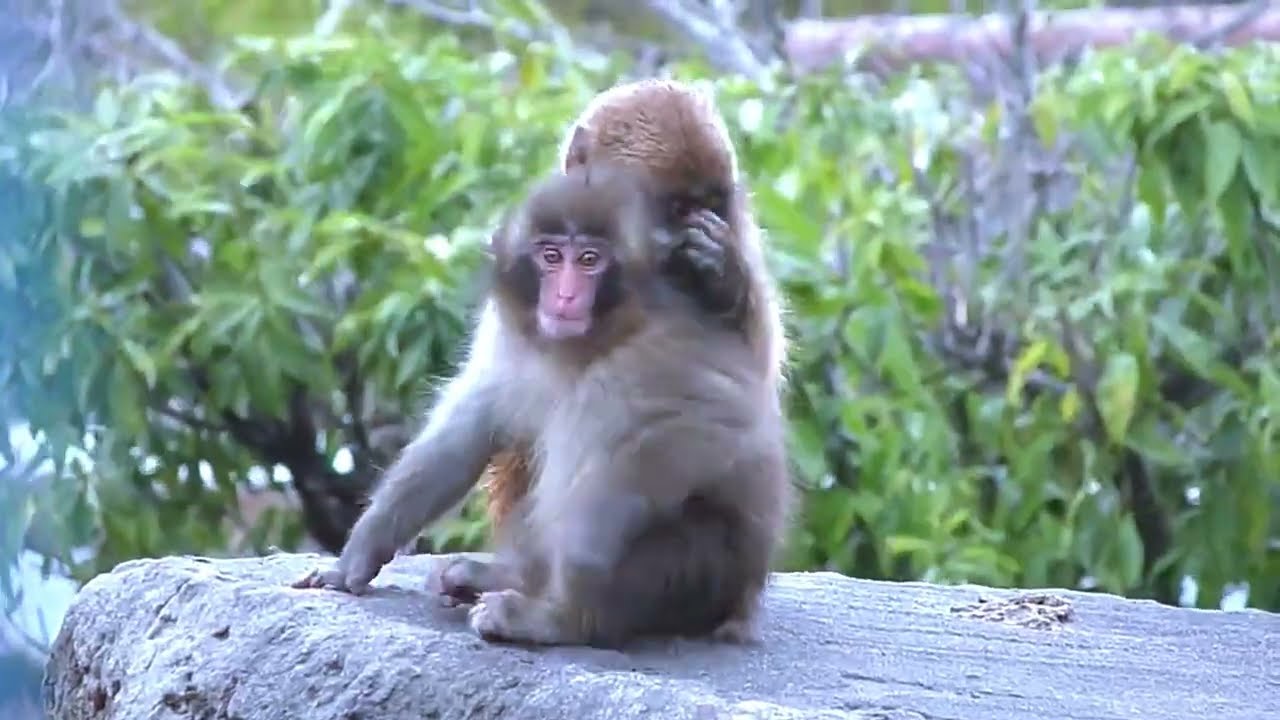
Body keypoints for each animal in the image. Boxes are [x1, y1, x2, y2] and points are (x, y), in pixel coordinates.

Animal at [294, 161, 792, 648]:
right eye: (551, 257)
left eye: (589, 260)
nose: (566, 295)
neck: (588, 342)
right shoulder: (508, 334)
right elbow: (468, 425)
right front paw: (356, 557)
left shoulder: (652, 354)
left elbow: (690, 433)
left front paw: (563, 617)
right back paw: (502, 576)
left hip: (697, 572)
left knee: (595, 438)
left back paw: (562, 613)